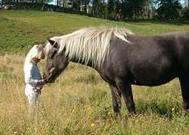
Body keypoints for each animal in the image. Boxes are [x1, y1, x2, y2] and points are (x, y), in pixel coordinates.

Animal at [43, 27, 189, 115]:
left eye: (52, 55)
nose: (46, 77)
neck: (106, 52)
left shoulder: (123, 83)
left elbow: (130, 105)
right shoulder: (112, 84)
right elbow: (116, 106)